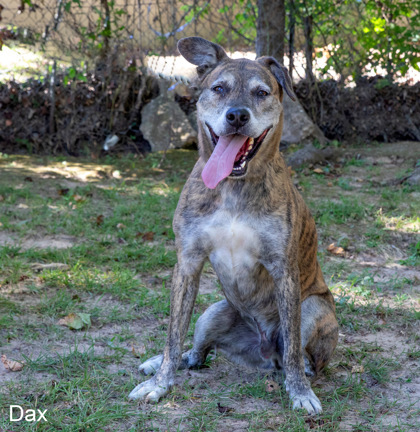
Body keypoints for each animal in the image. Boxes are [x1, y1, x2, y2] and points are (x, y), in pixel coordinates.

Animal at [130, 37, 340, 416]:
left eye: (261, 92)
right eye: (219, 88)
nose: (237, 115)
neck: (232, 186)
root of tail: (262, 351)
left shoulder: (284, 271)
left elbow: (292, 343)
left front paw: (300, 393)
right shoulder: (187, 264)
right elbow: (173, 334)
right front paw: (159, 384)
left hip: (313, 309)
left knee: (297, 352)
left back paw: (300, 370)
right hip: (212, 313)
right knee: (195, 353)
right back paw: (160, 363)